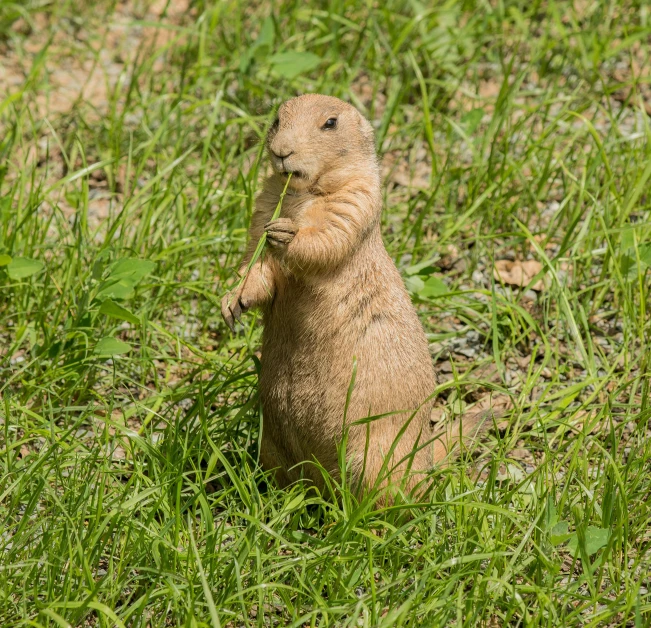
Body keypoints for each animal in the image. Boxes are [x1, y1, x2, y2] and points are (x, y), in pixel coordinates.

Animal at [222, 94, 486, 496]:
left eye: (330, 123)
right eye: (277, 118)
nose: (282, 151)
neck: (303, 195)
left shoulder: (358, 198)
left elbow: (329, 238)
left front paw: (287, 234)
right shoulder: (263, 204)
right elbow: (258, 268)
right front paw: (231, 302)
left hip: (376, 456)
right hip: (272, 445)